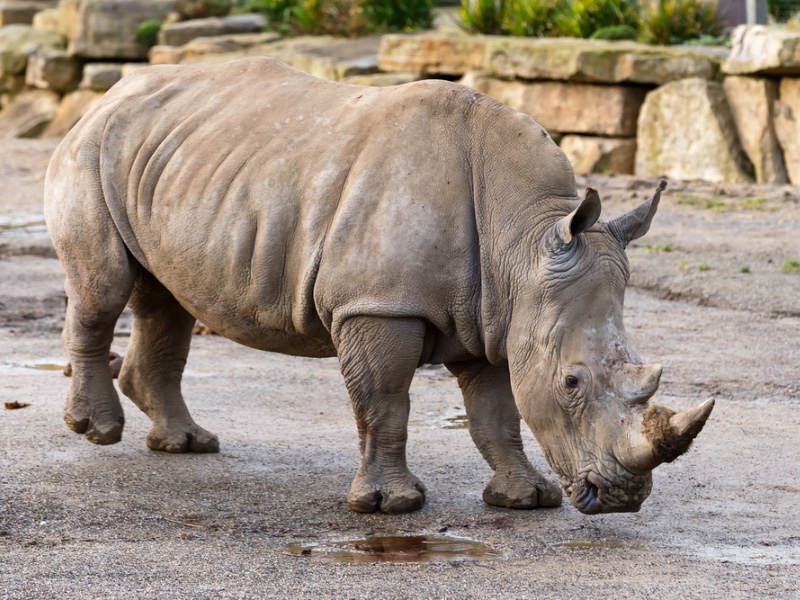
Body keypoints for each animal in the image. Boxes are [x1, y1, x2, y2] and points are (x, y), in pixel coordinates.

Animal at [43, 57, 712, 516]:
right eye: (572, 382)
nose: (623, 498)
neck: (523, 241)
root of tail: (108, 95)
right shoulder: (378, 306)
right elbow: (384, 401)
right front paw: (392, 506)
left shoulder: (499, 315)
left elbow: (496, 413)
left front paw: (525, 500)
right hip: (91, 152)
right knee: (104, 288)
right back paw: (98, 432)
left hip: (172, 162)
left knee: (166, 299)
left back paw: (187, 445)